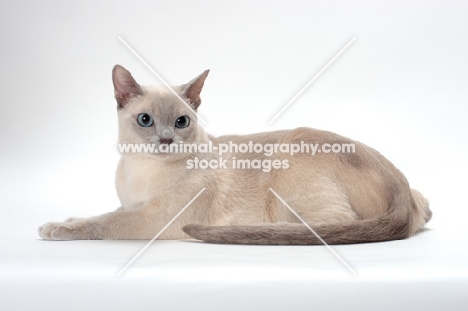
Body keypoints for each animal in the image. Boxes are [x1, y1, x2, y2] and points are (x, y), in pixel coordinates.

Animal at [38, 66, 434, 245]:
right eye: (145, 120)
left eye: (181, 121)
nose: (166, 140)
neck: (140, 171)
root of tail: (401, 185)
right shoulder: (131, 205)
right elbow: (96, 214)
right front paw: (64, 219)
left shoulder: (155, 219)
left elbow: (103, 222)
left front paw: (54, 228)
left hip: (288, 162)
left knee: (324, 227)